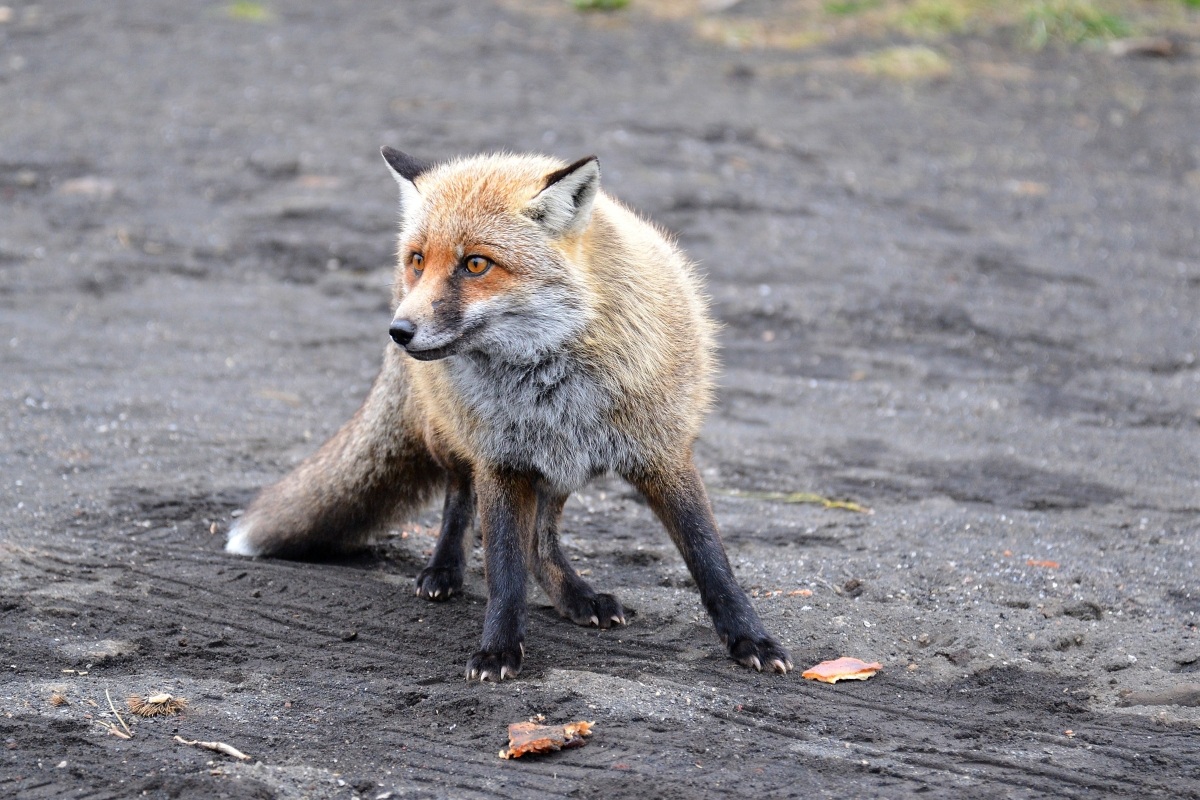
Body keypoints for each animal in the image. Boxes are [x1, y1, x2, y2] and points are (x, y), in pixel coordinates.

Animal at [226, 147, 793, 681]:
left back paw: (575, 597)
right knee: (460, 498)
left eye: (476, 264)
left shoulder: (661, 452)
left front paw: (751, 640)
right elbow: (503, 569)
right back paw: (444, 570)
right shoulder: (500, 461)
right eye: (418, 259)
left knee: (541, 543)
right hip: (455, 437)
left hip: (560, 469)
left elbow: (711, 560)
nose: (399, 331)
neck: (551, 383)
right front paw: (498, 649)